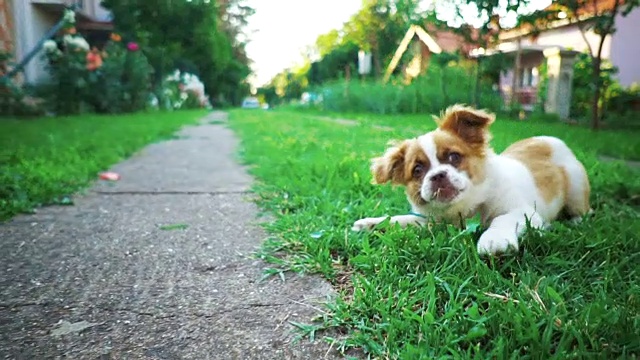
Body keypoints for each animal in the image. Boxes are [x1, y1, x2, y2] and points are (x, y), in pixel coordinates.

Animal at [352, 104, 592, 256]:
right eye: (418, 170)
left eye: (454, 157)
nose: (437, 176)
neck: (466, 208)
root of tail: (547, 139)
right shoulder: (430, 221)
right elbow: (399, 219)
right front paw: (371, 223)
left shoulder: (525, 214)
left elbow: (501, 219)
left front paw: (494, 239)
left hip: (576, 188)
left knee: (585, 210)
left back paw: (575, 221)